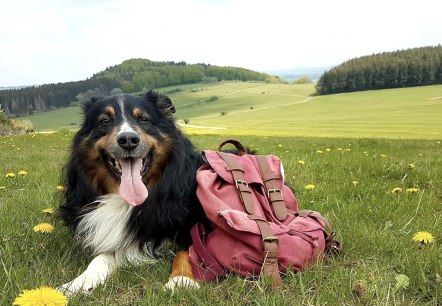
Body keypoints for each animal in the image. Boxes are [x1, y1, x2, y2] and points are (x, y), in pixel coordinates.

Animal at [58, 91, 207, 294]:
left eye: (144, 119)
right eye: (105, 121)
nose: (128, 139)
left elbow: (187, 252)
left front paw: (181, 280)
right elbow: (101, 258)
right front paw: (77, 284)